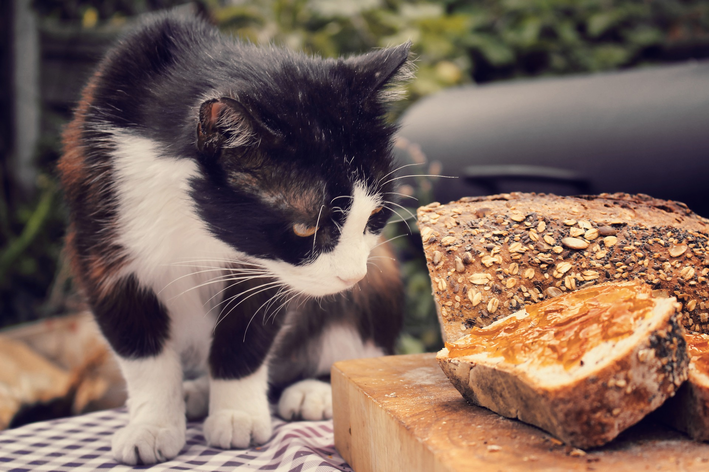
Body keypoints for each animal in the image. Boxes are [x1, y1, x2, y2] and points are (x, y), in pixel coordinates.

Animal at [58, 10, 412, 464]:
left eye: (376, 215)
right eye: (305, 227)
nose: (351, 276)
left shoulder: (267, 270)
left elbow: (246, 333)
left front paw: (236, 415)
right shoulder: (99, 239)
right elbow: (141, 351)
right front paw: (153, 424)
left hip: (379, 273)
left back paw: (313, 390)